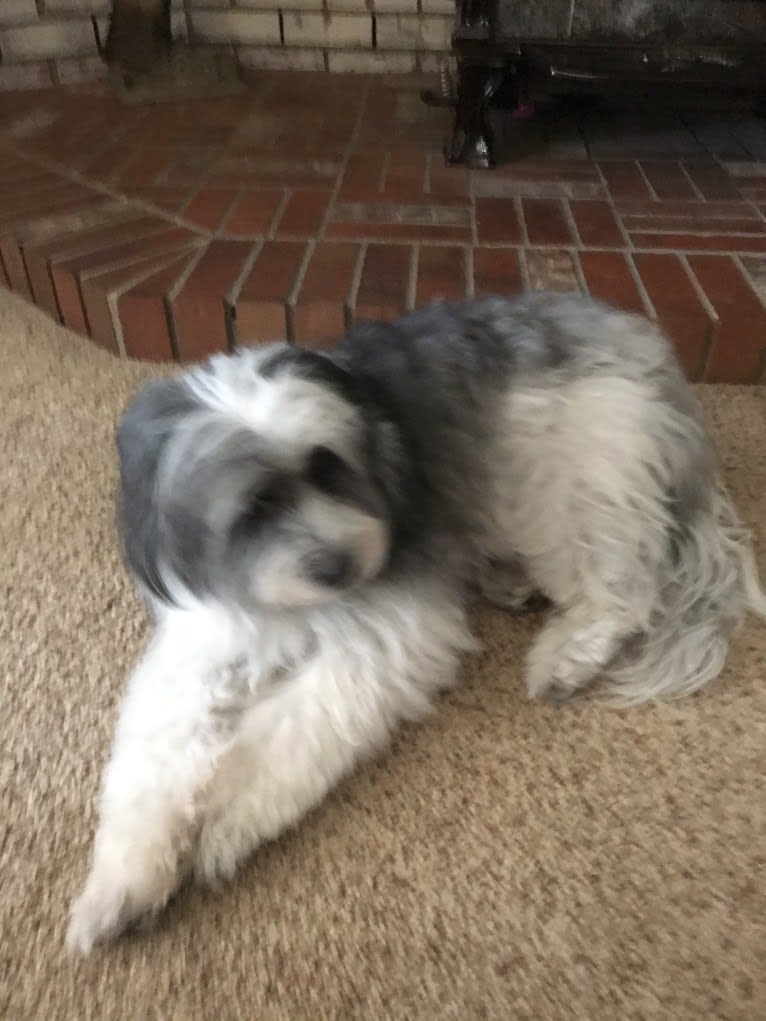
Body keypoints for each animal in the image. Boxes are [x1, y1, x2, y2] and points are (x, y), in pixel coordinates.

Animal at [67, 292, 766, 951]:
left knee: (622, 589)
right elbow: (153, 760)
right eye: (256, 506)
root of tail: (641, 340)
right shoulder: (204, 645)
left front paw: (219, 823)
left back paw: (565, 656)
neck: (295, 602)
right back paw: (504, 582)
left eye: (328, 467)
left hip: (563, 477)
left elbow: (281, 738)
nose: (341, 565)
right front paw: (120, 885)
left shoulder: (382, 639)